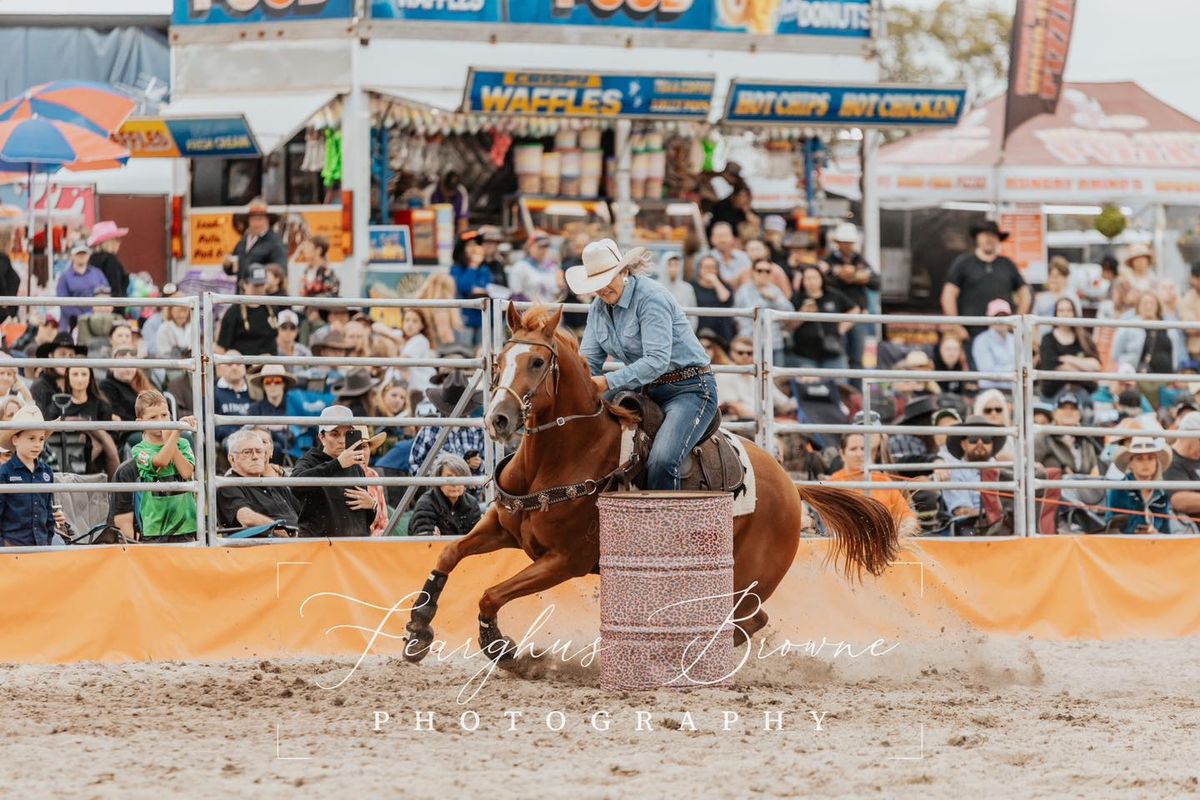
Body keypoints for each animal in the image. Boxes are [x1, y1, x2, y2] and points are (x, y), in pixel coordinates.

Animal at [405, 304, 902, 662]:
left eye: (538, 361)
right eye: (501, 360)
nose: (499, 420)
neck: (565, 455)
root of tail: (791, 486)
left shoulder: (564, 560)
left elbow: (491, 593)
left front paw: (499, 646)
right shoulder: (503, 529)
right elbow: (449, 554)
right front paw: (419, 626)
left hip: (749, 579)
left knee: (743, 623)